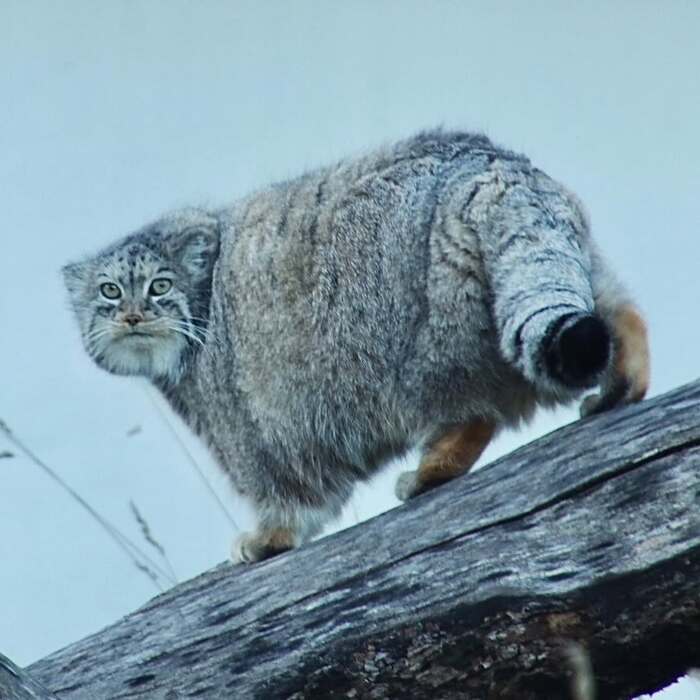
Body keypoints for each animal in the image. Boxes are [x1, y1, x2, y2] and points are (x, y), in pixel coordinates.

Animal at [63, 129, 649, 563]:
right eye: (109, 291)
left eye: (159, 286)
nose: (133, 315)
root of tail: (488, 165)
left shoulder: (251, 424)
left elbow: (284, 489)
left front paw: (268, 538)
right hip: (552, 267)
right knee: (623, 315)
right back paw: (622, 385)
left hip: (422, 341)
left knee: (473, 410)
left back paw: (429, 471)